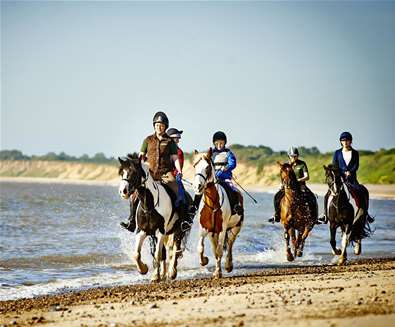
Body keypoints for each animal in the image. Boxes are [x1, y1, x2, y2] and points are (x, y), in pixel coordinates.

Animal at [193, 149, 244, 280]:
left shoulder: (222, 229)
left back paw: (228, 265)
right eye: (195, 166)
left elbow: (220, 250)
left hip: (236, 228)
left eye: (207, 168)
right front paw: (204, 261)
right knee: (215, 248)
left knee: (230, 244)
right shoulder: (204, 229)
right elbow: (200, 248)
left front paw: (218, 272)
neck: (212, 204)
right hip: (213, 234)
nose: (197, 186)